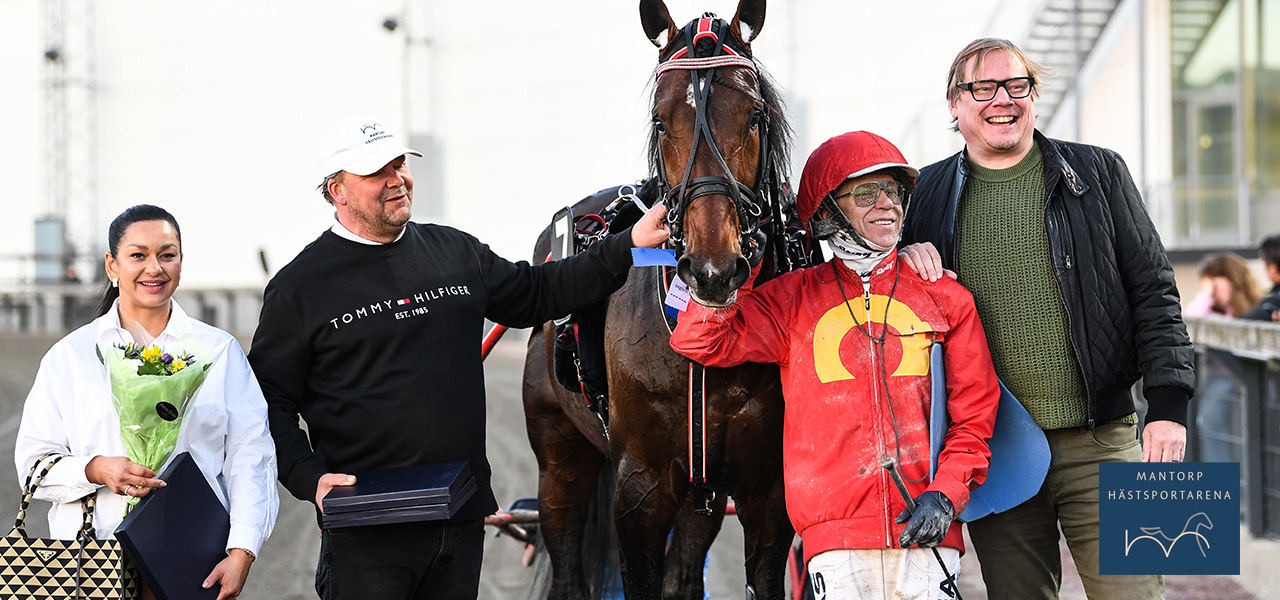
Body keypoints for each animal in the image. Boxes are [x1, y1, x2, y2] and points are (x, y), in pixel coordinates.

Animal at [522, 0, 808, 596]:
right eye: (660, 119)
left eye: (754, 116)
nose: (713, 270)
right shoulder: (640, 490)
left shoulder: (766, 489)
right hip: (559, 460)